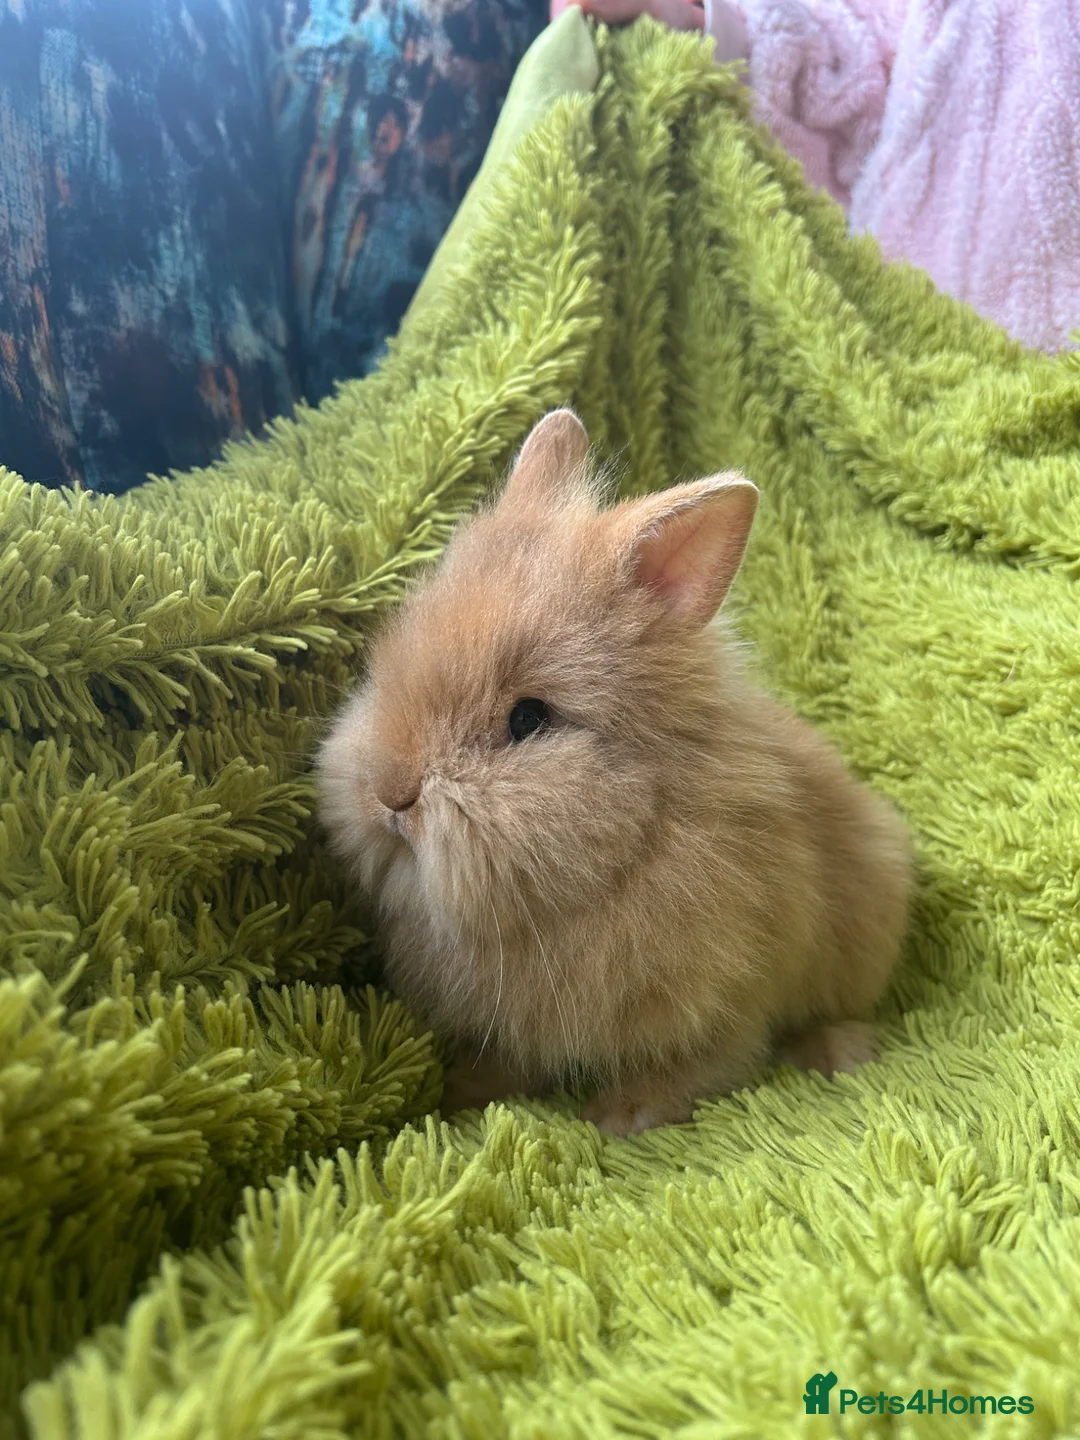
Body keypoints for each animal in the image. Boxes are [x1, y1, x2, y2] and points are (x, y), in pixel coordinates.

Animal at [316, 410, 913, 1136]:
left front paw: (621, 1116)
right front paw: (461, 1094)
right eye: (385, 665)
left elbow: (705, 1062)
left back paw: (837, 1051)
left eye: (529, 719)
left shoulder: (728, 997)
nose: (389, 798)